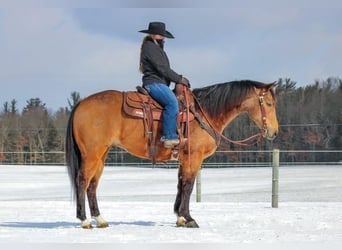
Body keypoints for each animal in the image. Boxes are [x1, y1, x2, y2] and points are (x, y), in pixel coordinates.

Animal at [65, 79, 280, 229]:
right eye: (269, 104)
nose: (274, 132)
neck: (204, 113)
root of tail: (81, 103)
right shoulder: (194, 158)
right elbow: (189, 186)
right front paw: (189, 218)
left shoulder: (184, 160)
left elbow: (180, 185)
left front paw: (179, 217)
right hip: (92, 154)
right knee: (82, 181)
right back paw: (84, 220)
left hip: (101, 156)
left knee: (92, 185)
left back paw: (100, 219)